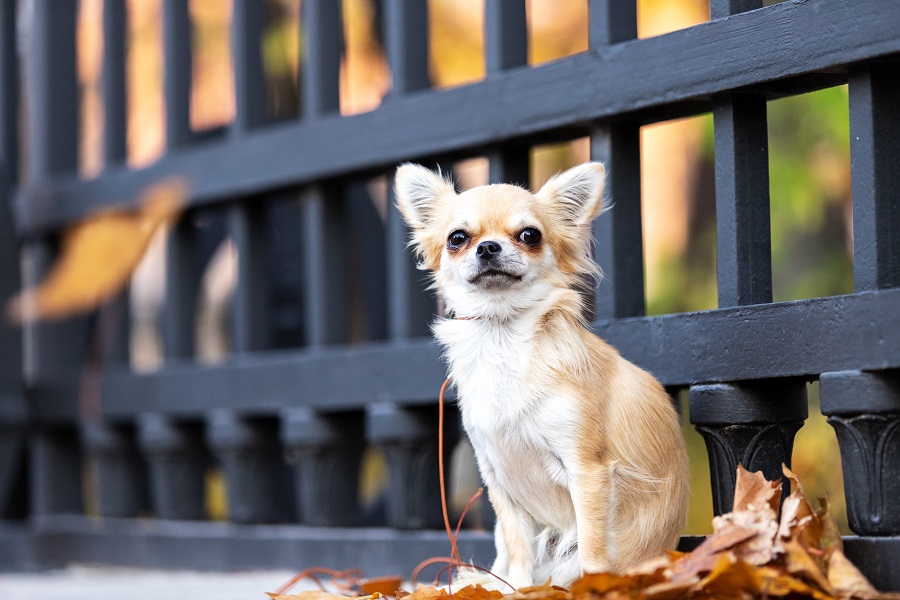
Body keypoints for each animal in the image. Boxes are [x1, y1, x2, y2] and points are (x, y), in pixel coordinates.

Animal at [394, 162, 688, 588]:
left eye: (530, 235)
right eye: (457, 239)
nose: (488, 247)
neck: (502, 338)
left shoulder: (588, 472)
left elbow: (594, 549)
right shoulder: (499, 480)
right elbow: (519, 549)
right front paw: (517, 589)